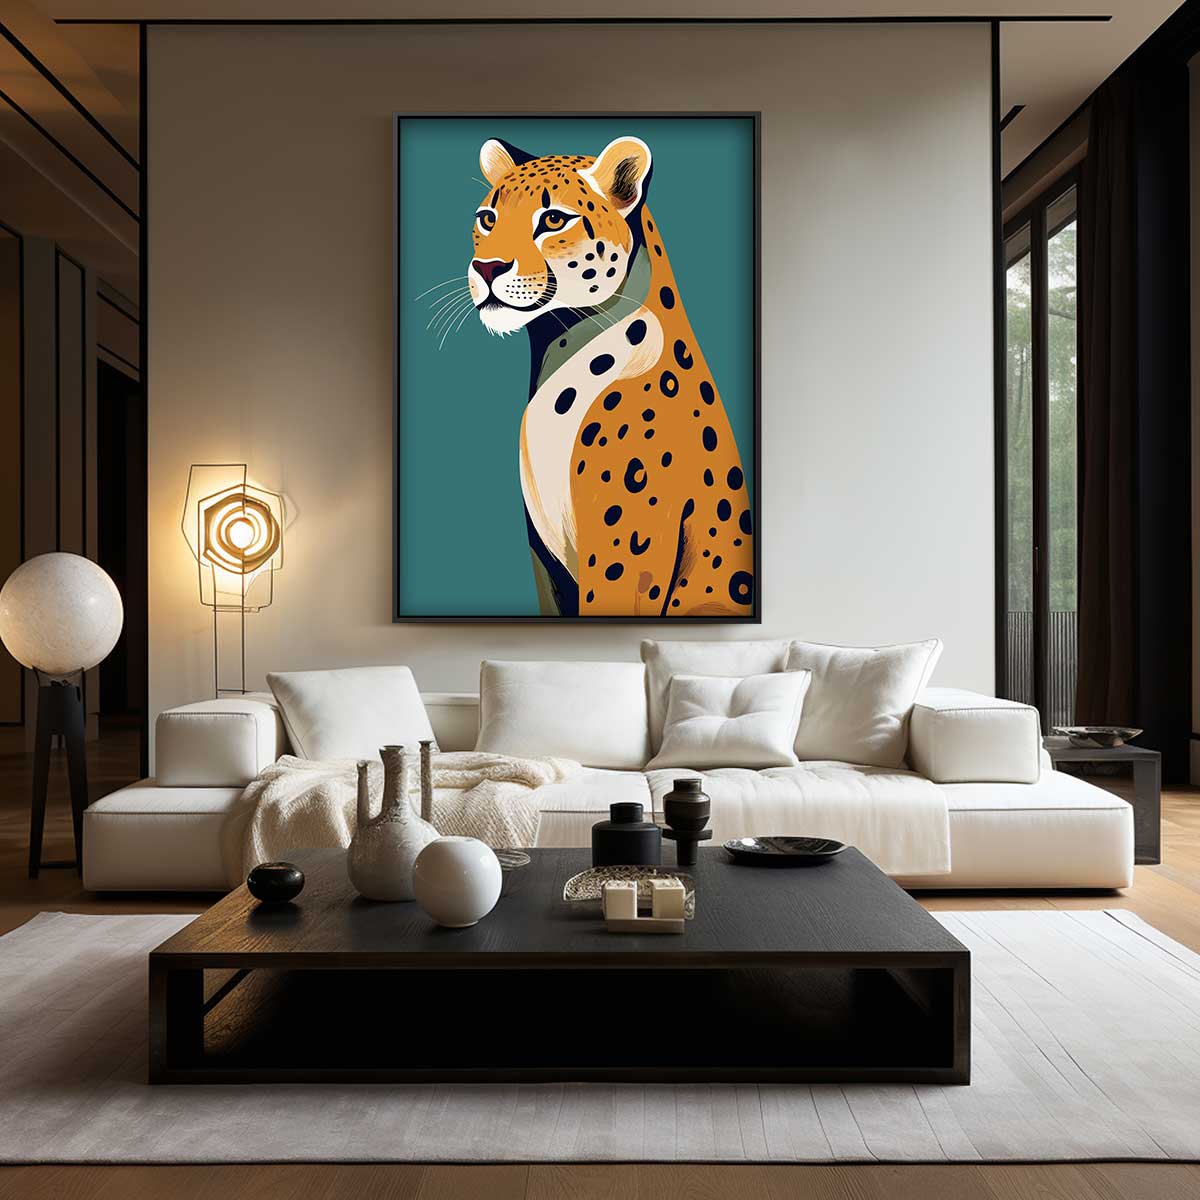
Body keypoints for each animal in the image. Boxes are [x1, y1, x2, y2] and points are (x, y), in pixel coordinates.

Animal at [467, 134, 754, 618]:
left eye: (553, 219)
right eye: (488, 219)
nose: (487, 267)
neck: (556, 344)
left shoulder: (620, 552)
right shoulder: (545, 563)